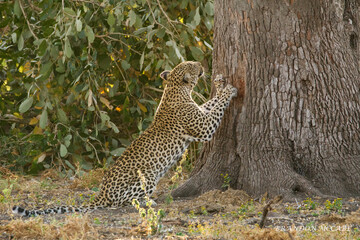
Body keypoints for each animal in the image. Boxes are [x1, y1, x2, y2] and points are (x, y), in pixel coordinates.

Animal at [11, 60, 236, 218]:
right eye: (192, 65)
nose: (201, 65)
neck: (174, 88)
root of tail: (101, 193)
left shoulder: (201, 114)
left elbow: (211, 103)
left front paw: (222, 87)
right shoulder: (203, 128)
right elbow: (217, 108)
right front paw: (229, 90)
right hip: (147, 176)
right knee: (124, 201)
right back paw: (147, 202)